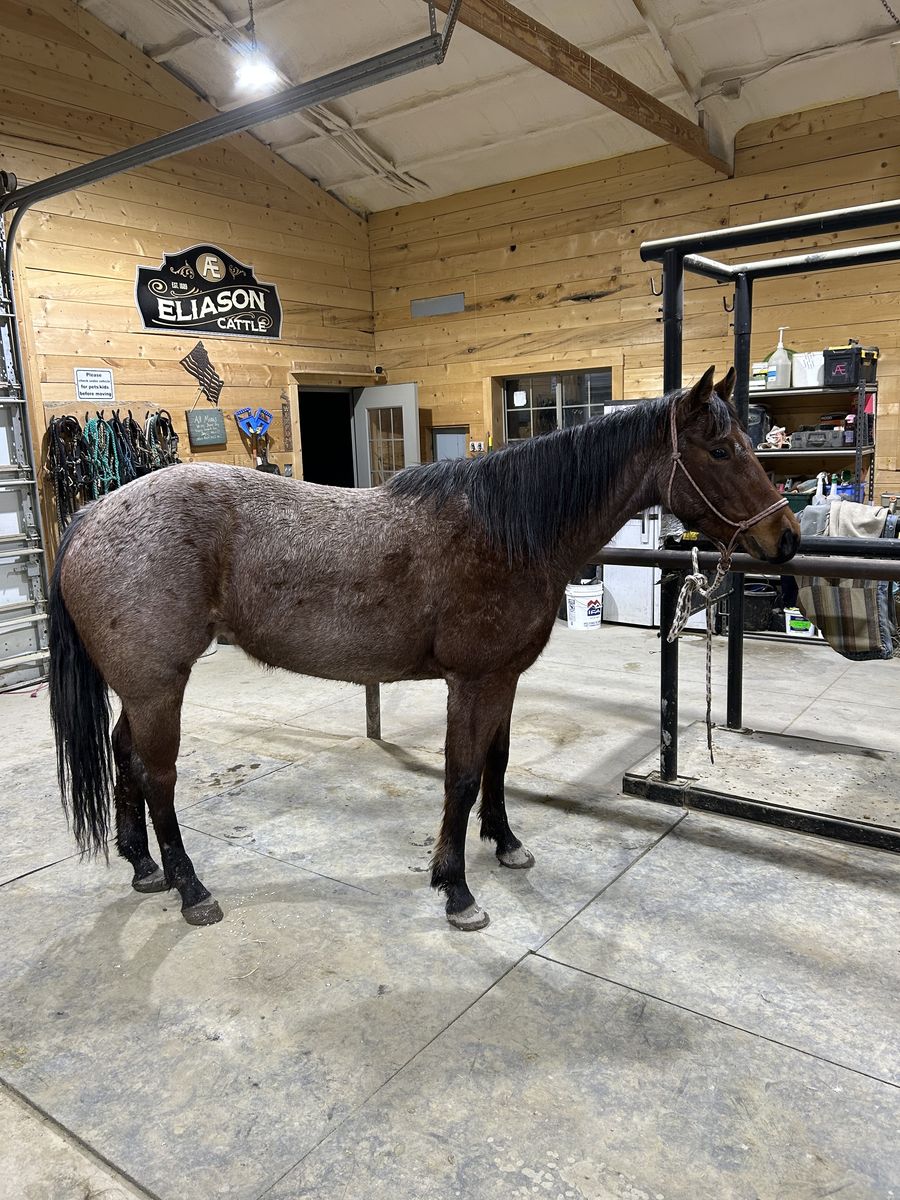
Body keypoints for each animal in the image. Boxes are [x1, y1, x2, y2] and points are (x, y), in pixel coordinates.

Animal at [48, 366, 799, 931]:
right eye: (722, 451)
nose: (786, 538)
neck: (506, 530)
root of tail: (93, 513)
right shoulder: (470, 682)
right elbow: (461, 777)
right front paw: (456, 889)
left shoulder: (504, 679)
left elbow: (495, 763)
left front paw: (506, 844)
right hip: (159, 685)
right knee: (157, 776)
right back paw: (191, 889)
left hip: (142, 686)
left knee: (124, 755)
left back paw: (143, 866)